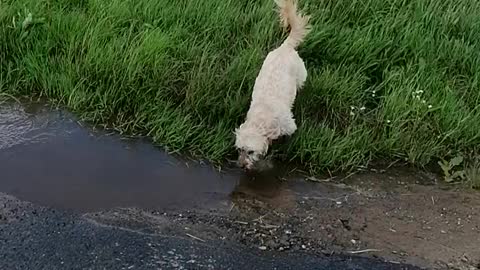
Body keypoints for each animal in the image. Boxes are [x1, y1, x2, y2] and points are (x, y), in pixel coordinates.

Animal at [234, 0, 310, 171]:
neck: (263, 116)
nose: (241, 165)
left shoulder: (289, 126)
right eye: (240, 149)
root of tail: (285, 47)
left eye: (251, 152)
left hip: (301, 75)